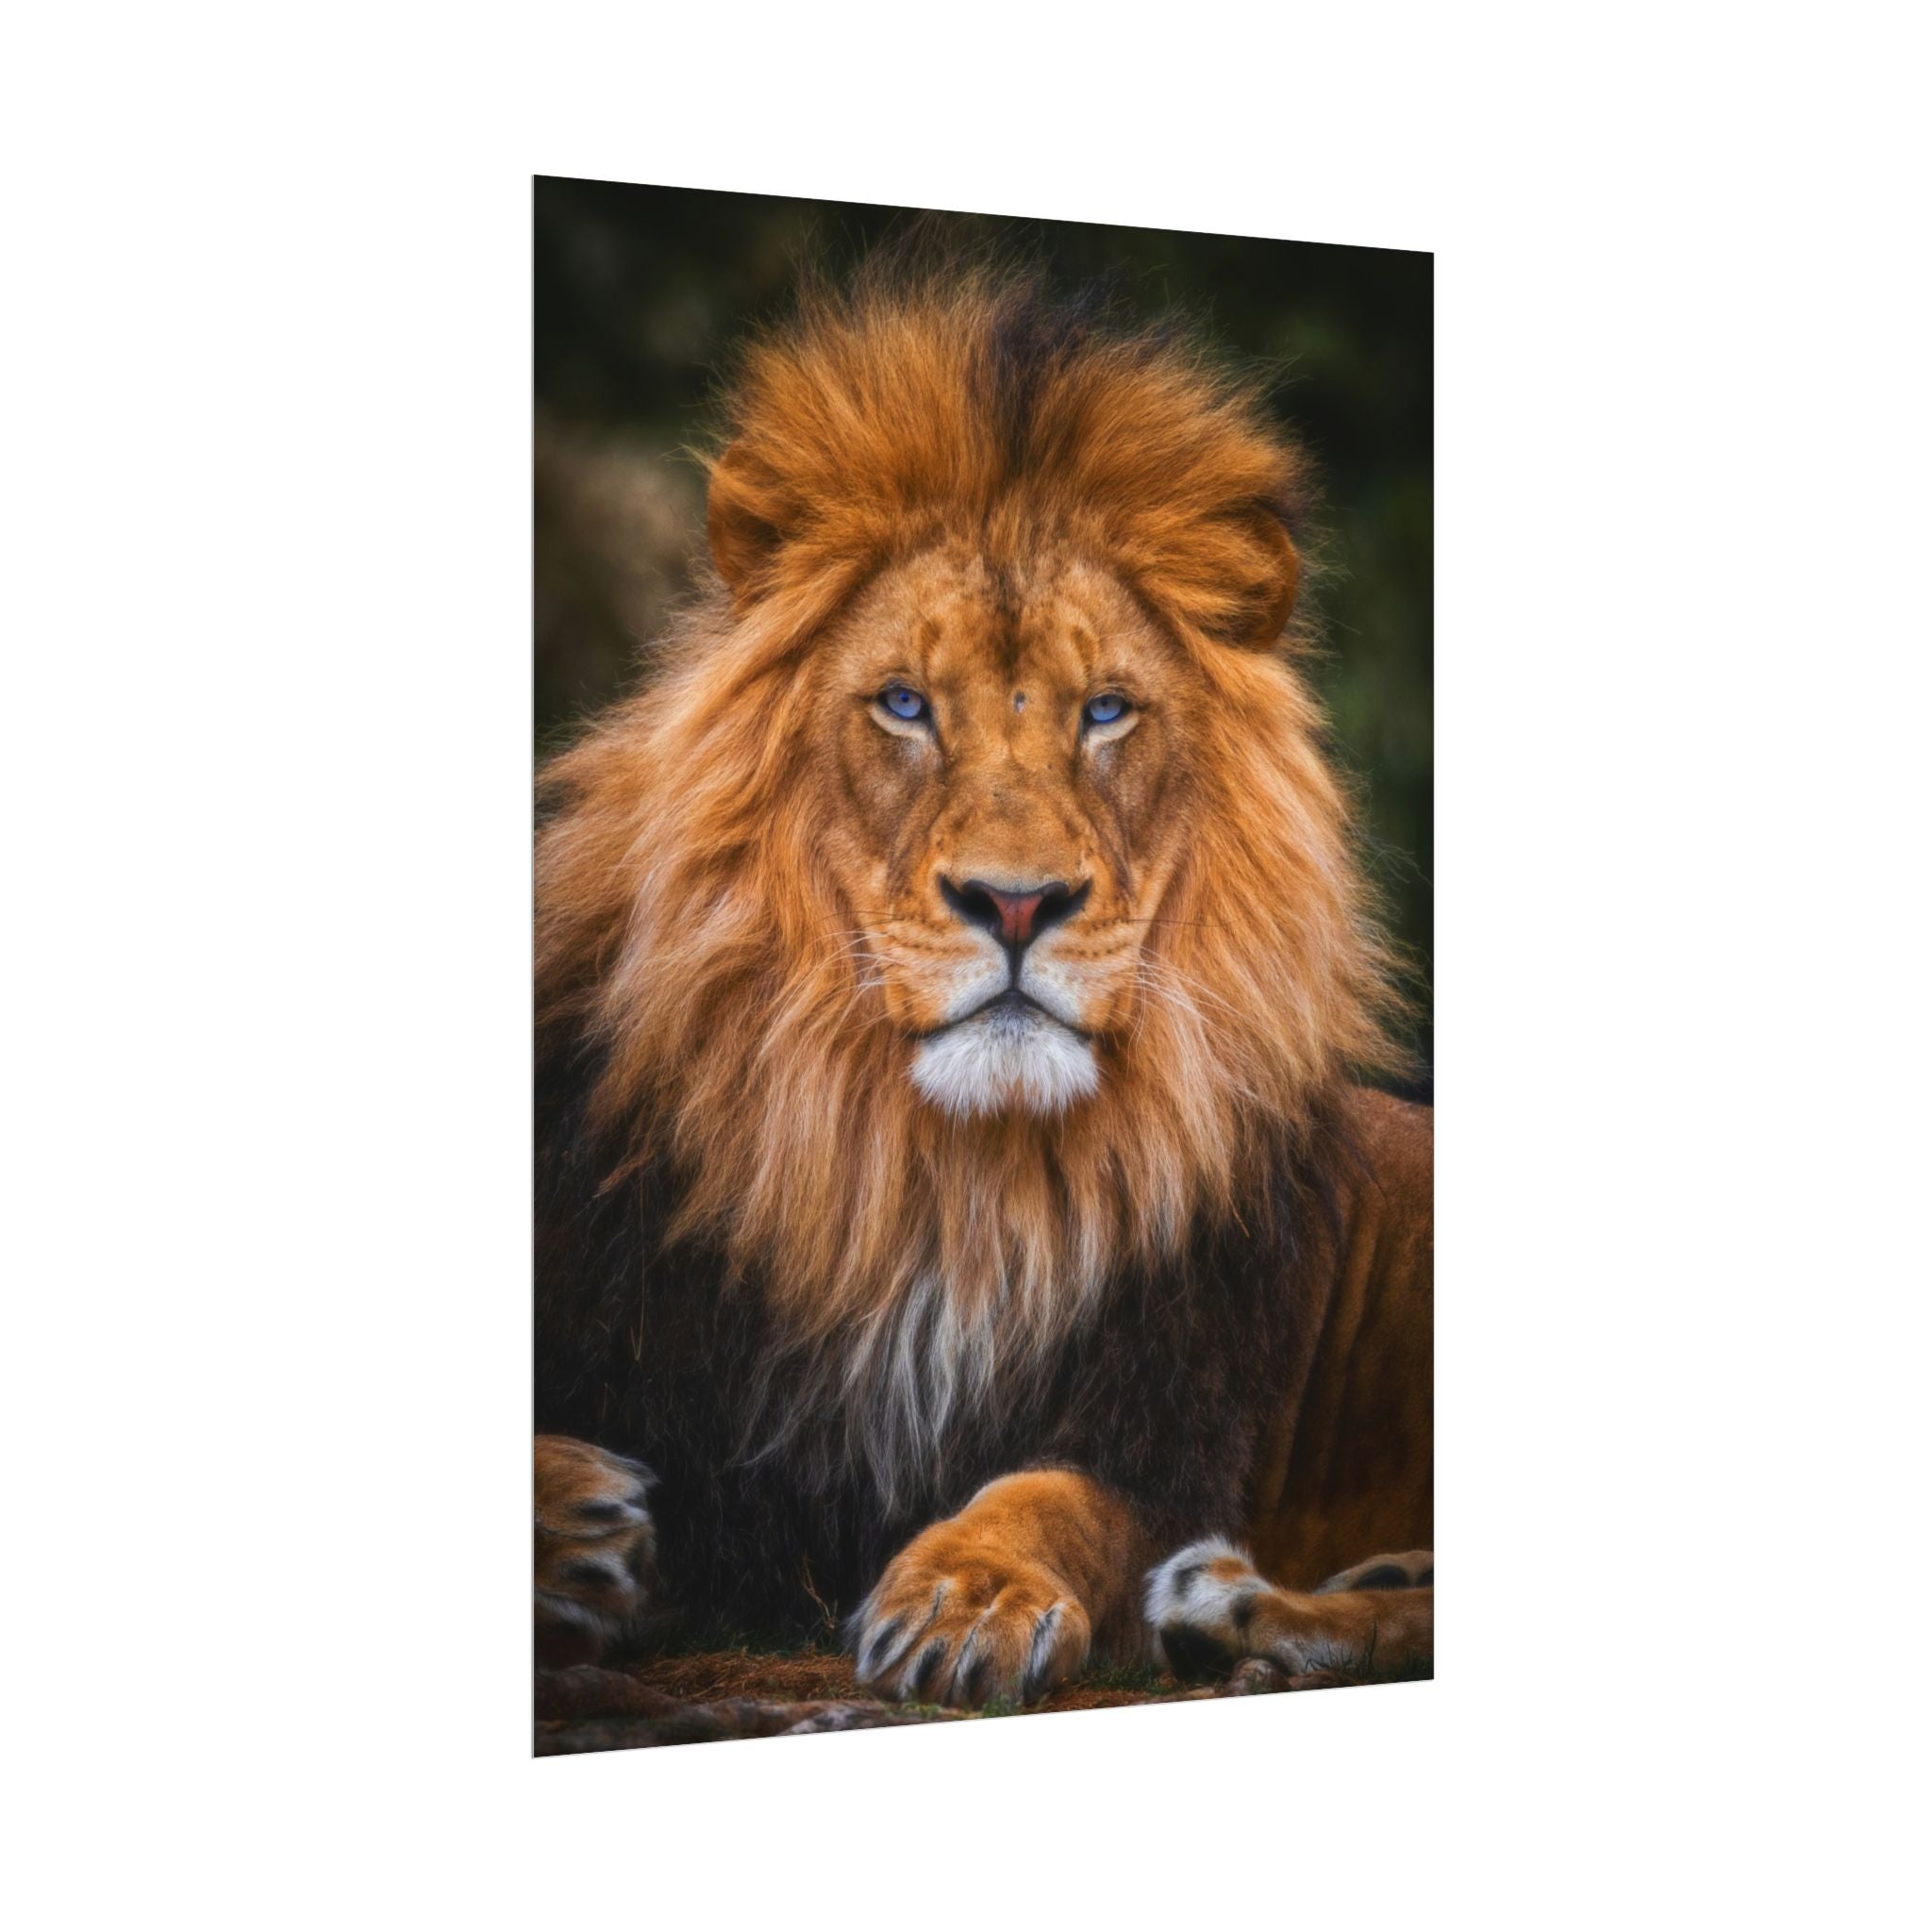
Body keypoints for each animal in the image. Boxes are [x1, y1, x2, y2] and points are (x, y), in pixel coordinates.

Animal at [534, 262, 1433, 1707]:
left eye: (1106, 711)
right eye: (904, 704)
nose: (1016, 903)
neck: (939, 1182)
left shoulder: (1165, 1432)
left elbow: (1052, 1497)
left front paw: (969, 1593)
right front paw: (575, 1523)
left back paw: (1241, 1610)